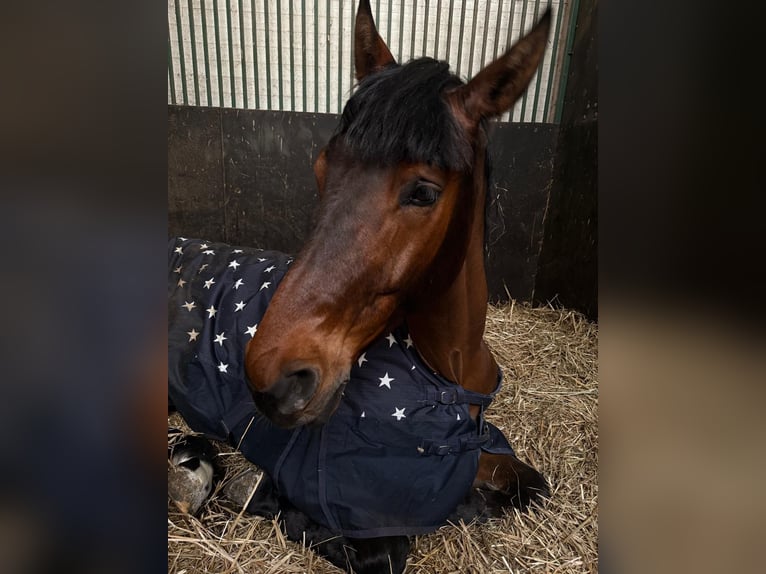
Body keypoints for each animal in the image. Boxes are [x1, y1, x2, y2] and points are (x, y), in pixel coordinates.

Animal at [168, 1, 552, 572]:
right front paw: (262, 494)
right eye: (322, 167)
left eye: (423, 192)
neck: (448, 373)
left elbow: (531, 486)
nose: (273, 379)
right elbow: (383, 545)